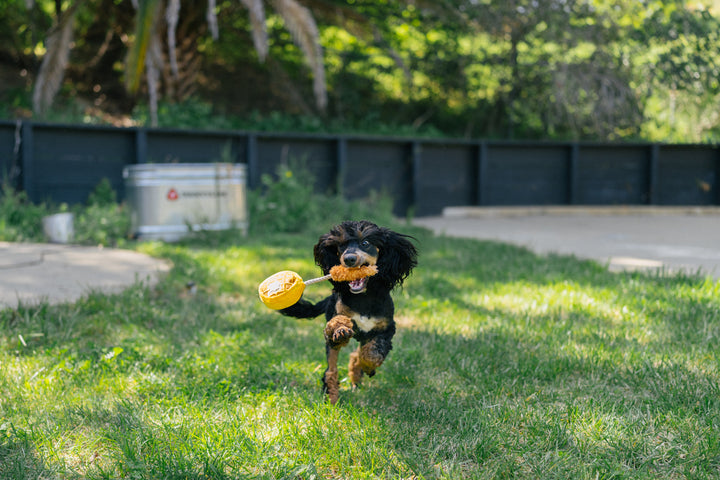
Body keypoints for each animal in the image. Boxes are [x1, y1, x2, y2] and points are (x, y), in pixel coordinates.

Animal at [280, 219, 416, 404]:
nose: (349, 259)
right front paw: (341, 331)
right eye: (342, 246)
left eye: (365, 243)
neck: (364, 297)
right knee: (331, 370)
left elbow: (372, 353)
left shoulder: (386, 328)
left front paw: (367, 366)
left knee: (356, 354)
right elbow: (336, 326)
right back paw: (331, 397)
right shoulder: (335, 323)